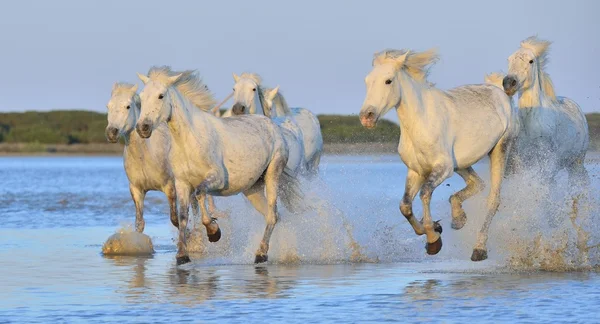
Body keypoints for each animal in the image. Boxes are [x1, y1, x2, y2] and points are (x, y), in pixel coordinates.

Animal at [135, 66, 296, 266]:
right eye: (141, 96)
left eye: (161, 95)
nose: (143, 128)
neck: (189, 140)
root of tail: (273, 125)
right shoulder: (182, 183)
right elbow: (182, 217)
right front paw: (182, 255)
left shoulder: (217, 178)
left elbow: (200, 194)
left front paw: (214, 232)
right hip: (252, 189)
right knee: (272, 215)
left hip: (272, 174)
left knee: (273, 215)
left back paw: (261, 254)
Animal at [358, 48, 516, 260]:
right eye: (367, 80)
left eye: (388, 81)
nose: (367, 117)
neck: (421, 122)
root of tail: (501, 92)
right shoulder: (416, 171)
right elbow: (405, 205)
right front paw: (436, 229)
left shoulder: (442, 169)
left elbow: (425, 194)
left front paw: (433, 240)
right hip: (461, 164)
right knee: (477, 184)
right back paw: (458, 219)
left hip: (500, 149)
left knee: (493, 199)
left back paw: (479, 249)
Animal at [500, 36, 588, 184]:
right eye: (509, 59)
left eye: (531, 61)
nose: (509, 83)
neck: (531, 126)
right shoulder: (521, 162)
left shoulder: (547, 163)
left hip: (576, 162)